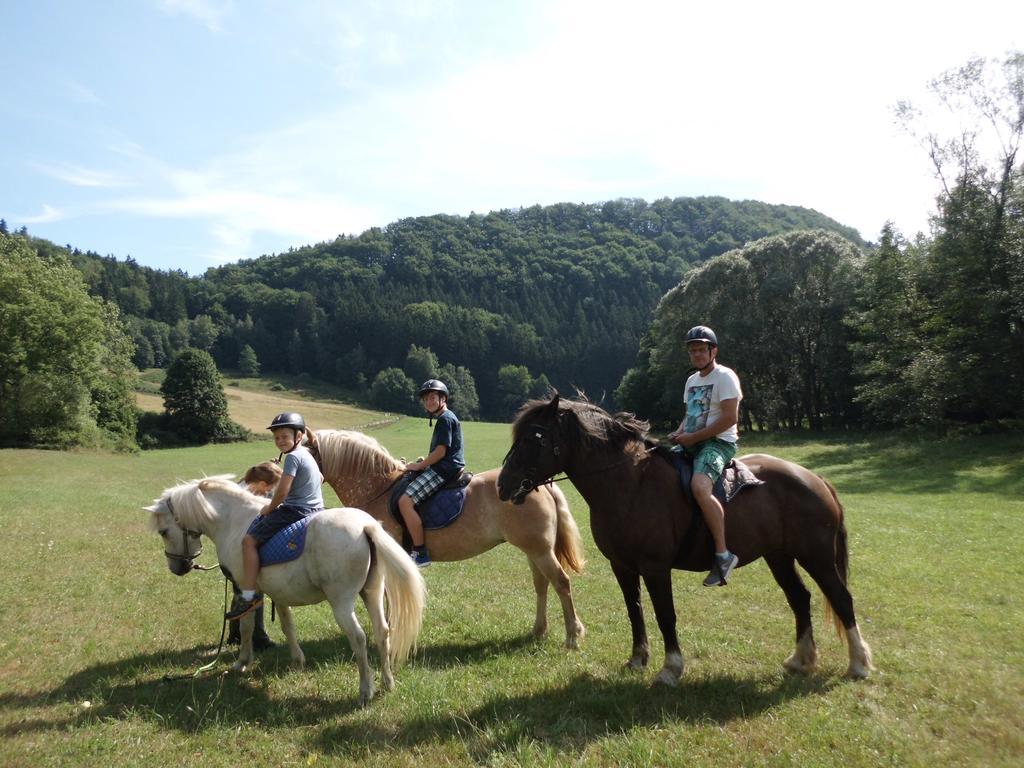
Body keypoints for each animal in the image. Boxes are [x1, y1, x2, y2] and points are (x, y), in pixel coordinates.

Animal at [144, 475, 423, 708]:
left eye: (164, 532)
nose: (177, 568)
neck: (235, 521)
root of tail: (366, 526)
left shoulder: (246, 589)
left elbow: (246, 627)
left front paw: (242, 662)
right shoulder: (278, 593)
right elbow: (288, 625)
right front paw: (297, 661)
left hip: (341, 602)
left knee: (358, 637)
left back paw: (366, 690)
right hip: (372, 592)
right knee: (382, 631)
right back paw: (387, 683)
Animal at [307, 430, 585, 647]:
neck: (378, 488)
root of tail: (539, 484)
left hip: (540, 550)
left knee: (561, 583)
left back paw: (572, 635)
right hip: (533, 550)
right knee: (542, 584)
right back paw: (539, 630)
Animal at [495, 397, 872, 684]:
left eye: (536, 437)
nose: (502, 484)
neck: (629, 484)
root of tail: (814, 478)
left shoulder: (655, 568)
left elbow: (666, 615)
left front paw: (670, 668)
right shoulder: (622, 567)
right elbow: (635, 611)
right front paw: (637, 660)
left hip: (816, 556)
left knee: (841, 598)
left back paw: (859, 664)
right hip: (779, 556)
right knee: (800, 598)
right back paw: (801, 659)